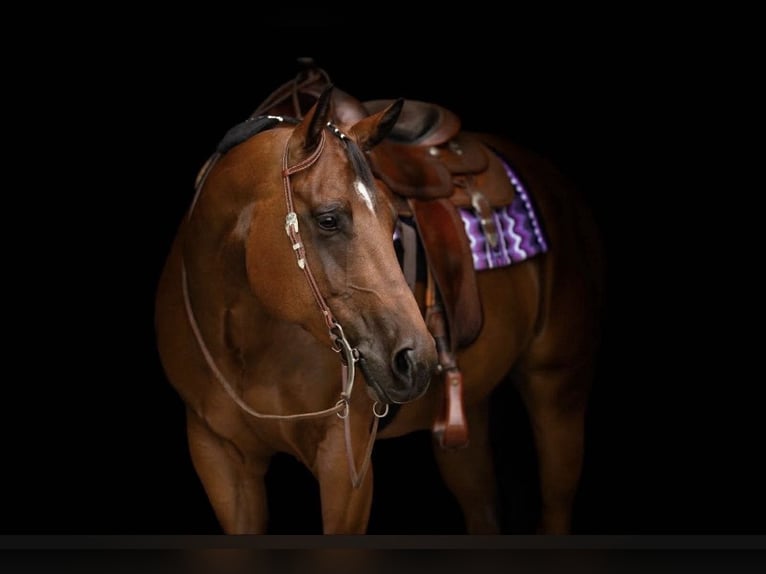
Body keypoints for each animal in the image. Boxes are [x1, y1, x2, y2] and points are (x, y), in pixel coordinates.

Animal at [154, 64, 604, 534]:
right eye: (328, 219)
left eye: (392, 220)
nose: (417, 358)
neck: (242, 338)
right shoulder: (220, 458)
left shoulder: (343, 462)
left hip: (558, 392)